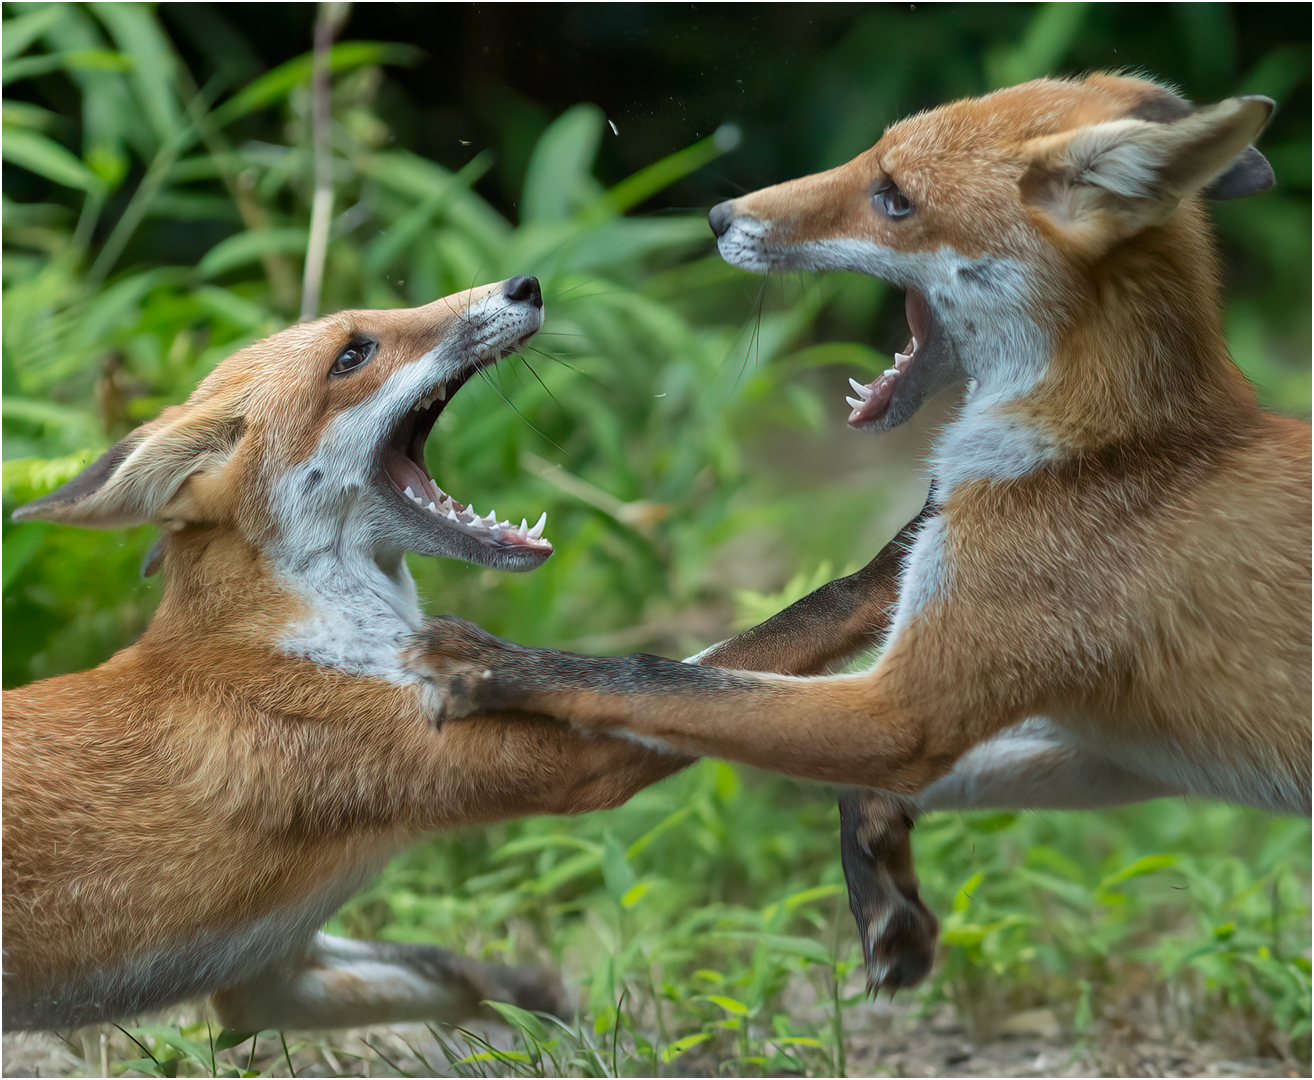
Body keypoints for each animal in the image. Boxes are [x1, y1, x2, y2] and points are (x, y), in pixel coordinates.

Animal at [5, 277, 688, 1030]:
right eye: (352, 355)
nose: (526, 285)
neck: (302, 637)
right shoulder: (537, 762)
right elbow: (698, 684)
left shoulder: (271, 978)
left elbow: (449, 971)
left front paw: (541, 1004)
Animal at [407, 71, 1303, 993]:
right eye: (875, 154)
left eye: (894, 198)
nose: (719, 216)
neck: (1105, 446)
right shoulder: (1108, 746)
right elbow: (821, 716)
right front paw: (887, 899)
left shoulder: (901, 715)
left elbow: (652, 675)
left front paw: (492, 665)